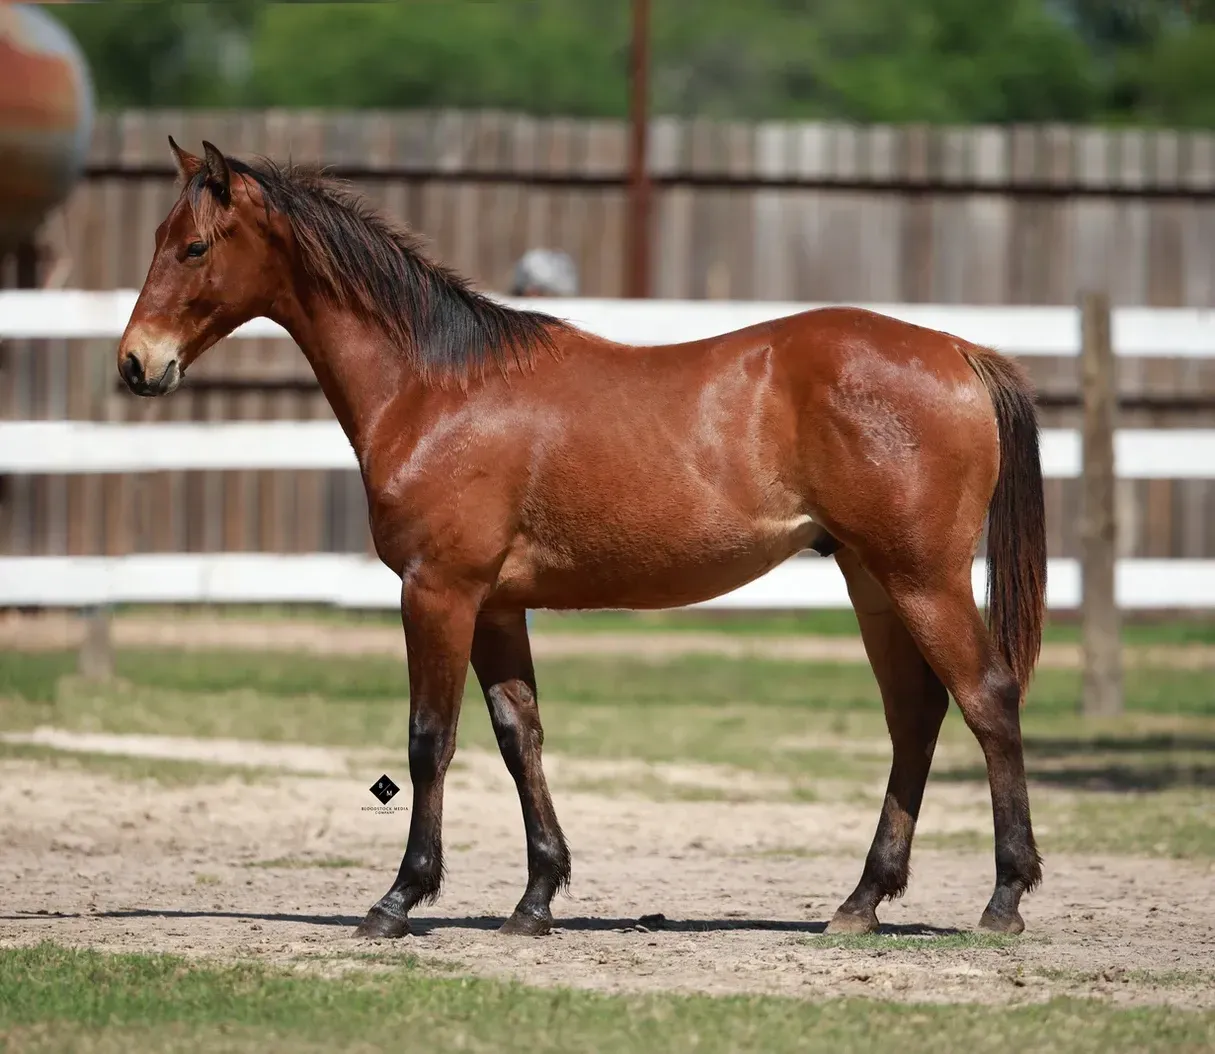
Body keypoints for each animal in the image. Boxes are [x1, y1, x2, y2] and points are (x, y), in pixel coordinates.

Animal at [117, 138, 1047, 940]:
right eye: (156, 238)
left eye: (193, 247)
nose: (135, 363)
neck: (436, 387)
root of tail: (958, 350)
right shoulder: (494, 607)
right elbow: (516, 736)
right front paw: (534, 899)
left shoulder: (438, 591)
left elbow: (429, 740)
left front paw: (399, 899)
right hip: (872, 581)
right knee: (914, 715)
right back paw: (861, 901)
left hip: (921, 578)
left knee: (986, 700)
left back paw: (1002, 897)